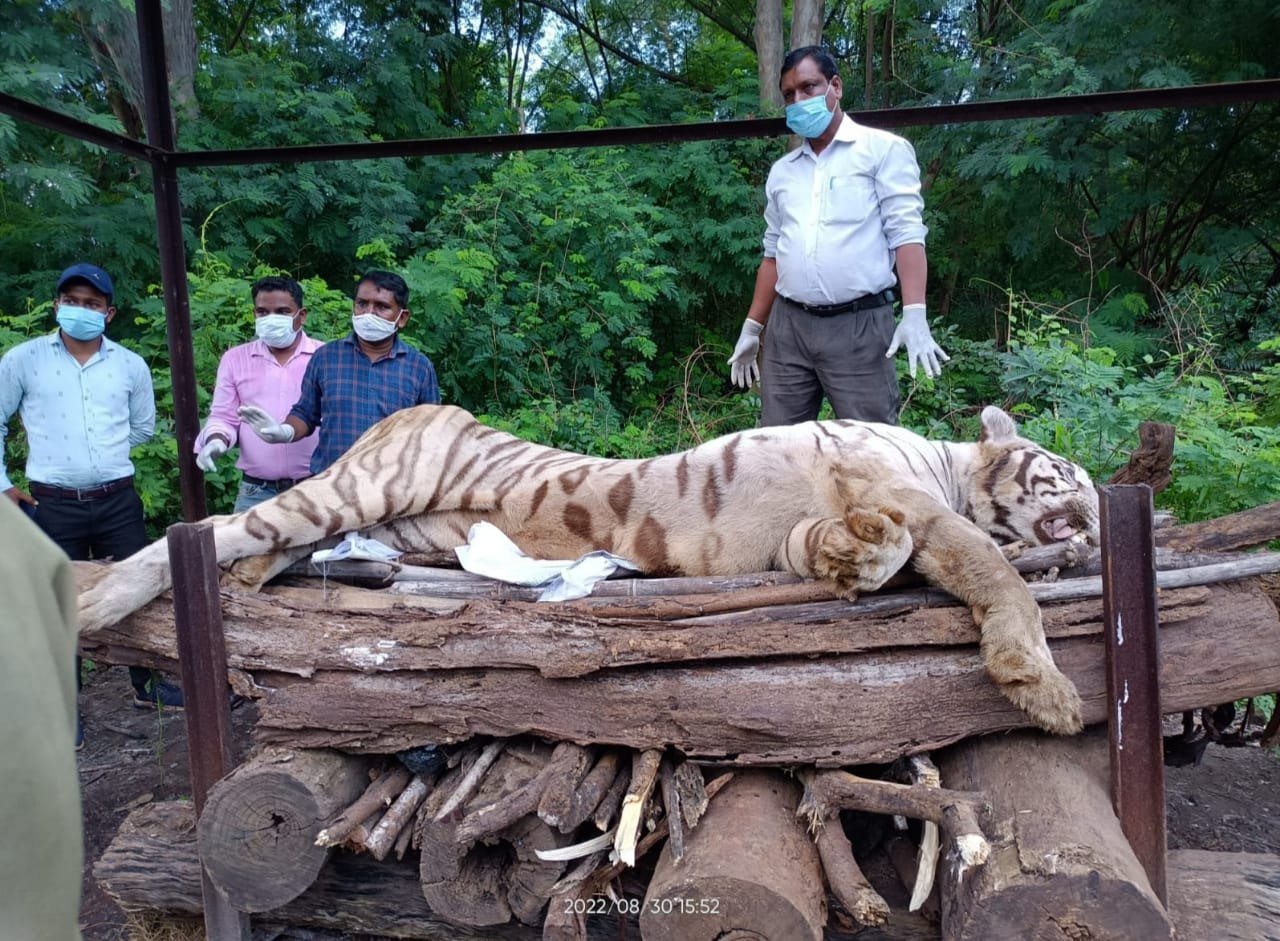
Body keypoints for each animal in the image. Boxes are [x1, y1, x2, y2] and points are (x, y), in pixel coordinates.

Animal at [80, 404, 1095, 737]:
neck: (952, 471)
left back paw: (245, 584)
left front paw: (860, 559)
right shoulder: (911, 499)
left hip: (388, 521)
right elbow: (996, 573)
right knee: (210, 525)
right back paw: (96, 602)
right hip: (359, 487)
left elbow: (860, 551)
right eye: (1069, 478)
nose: (1093, 522)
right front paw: (1042, 687)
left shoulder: (805, 530)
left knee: (255, 542)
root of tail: (405, 411)